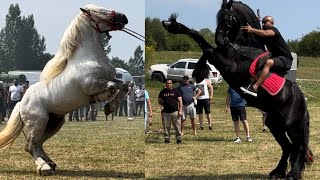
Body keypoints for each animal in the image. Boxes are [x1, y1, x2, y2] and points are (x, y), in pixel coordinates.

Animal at [0, 3, 130, 176]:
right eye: (98, 11)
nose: (123, 17)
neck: (87, 58)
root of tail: (21, 103)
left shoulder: (111, 78)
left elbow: (125, 86)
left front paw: (111, 106)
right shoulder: (92, 84)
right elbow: (112, 87)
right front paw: (106, 104)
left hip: (55, 122)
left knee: (37, 144)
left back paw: (51, 163)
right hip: (39, 121)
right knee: (31, 145)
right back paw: (44, 167)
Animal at [161, 0, 314, 179]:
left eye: (228, 18)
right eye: (217, 18)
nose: (220, 40)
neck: (241, 48)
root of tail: (301, 99)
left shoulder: (226, 64)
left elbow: (205, 45)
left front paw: (174, 26)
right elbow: (205, 48)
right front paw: (198, 71)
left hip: (292, 125)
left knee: (298, 147)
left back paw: (293, 173)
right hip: (274, 123)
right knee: (288, 147)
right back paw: (278, 172)